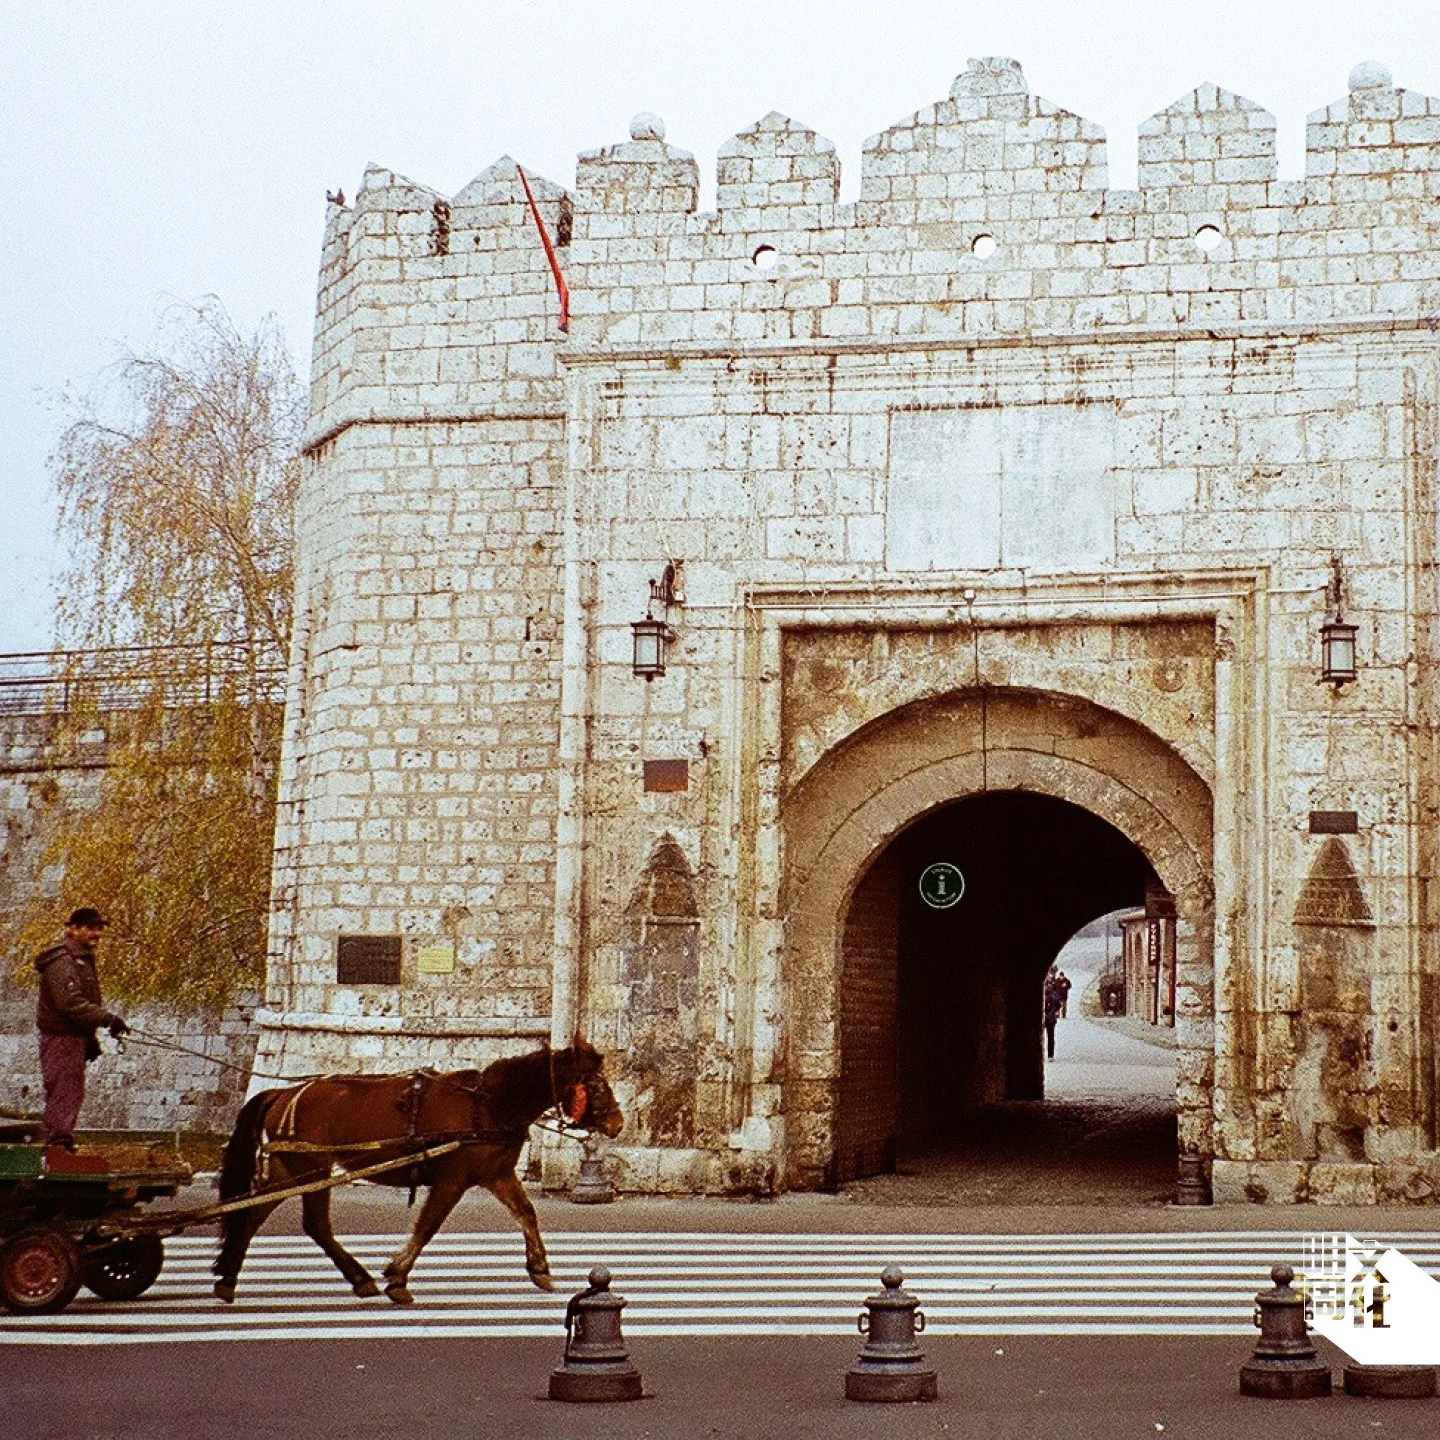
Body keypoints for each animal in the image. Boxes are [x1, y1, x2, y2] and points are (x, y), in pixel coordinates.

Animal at [211, 1036, 624, 1307]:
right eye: (597, 1087)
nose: (618, 1124)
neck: (489, 1105)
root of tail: (283, 1093)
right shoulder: (451, 1181)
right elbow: (427, 1226)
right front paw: (397, 1277)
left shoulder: (497, 1175)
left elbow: (526, 1213)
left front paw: (539, 1268)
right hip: (312, 1171)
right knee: (313, 1225)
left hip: (292, 1170)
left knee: (255, 1215)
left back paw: (229, 1276)